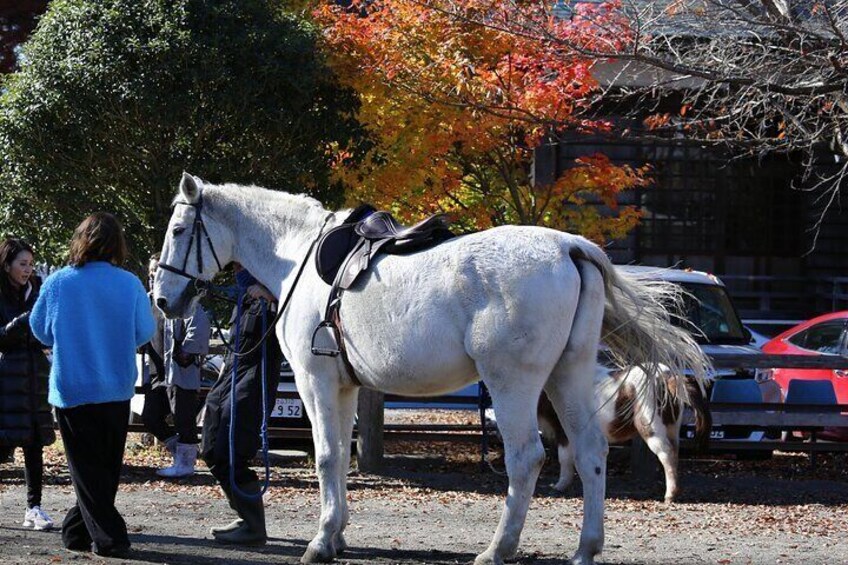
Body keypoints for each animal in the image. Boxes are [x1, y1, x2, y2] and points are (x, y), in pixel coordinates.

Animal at [540, 366, 712, 502]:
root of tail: (668, 377)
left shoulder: (563, 431)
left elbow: (564, 458)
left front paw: (559, 486)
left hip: (652, 427)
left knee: (666, 454)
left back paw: (670, 495)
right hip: (672, 428)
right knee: (674, 452)